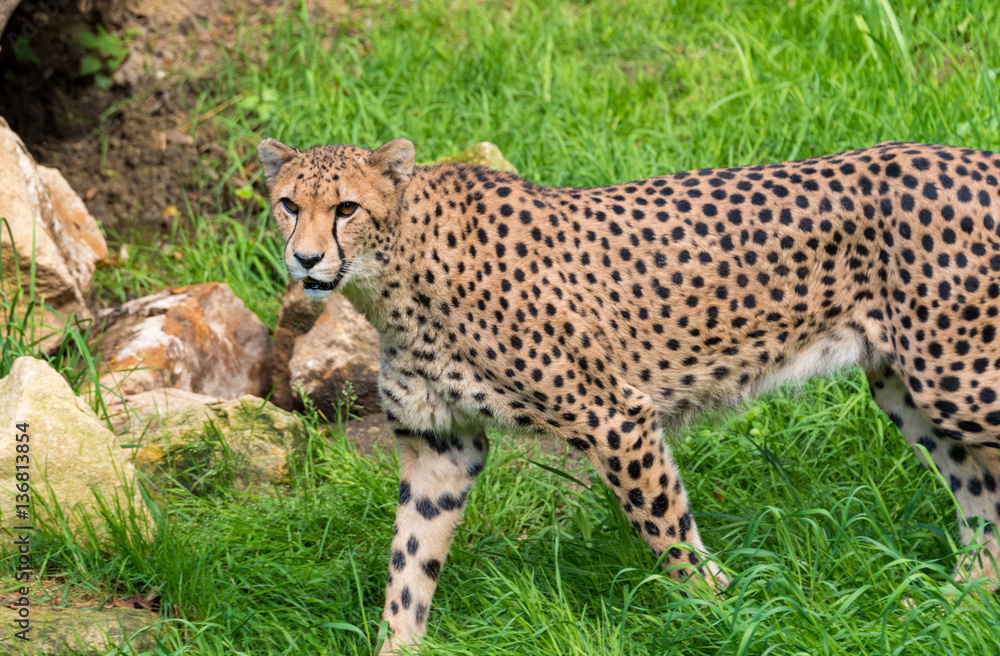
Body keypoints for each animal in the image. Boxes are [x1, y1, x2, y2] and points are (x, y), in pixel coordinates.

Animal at [260, 137, 1000, 652]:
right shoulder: (440, 448)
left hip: (958, 380)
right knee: (982, 500)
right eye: (289, 205)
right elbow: (410, 562)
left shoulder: (616, 417)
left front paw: (726, 616)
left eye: (347, 208)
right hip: (910, 388)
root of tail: (971, 158)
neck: (392, 278)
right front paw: (398, 645)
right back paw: (959, 605)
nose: (305, 259)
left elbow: (667, 534)